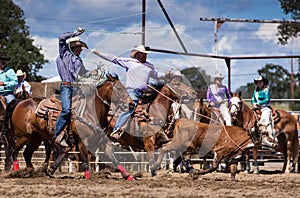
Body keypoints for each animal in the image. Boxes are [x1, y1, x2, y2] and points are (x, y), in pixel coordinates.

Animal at [6, 73, 135, 180]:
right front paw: (88, 176)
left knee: (26, 153)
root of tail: (20, 102)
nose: (132, 104)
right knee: (14, 150)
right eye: (119, 88)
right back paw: (16, 172)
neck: (89, 112)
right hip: (23, 136)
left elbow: (114, 158)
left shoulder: (103, 142)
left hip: (35, 137)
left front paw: (127, 176)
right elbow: (84, 160)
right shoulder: (82, 142)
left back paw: (31, 171)